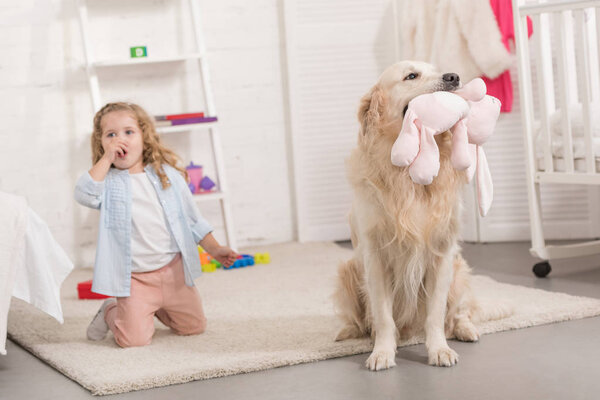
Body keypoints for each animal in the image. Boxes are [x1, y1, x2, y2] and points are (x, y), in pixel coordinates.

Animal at [336, 60, 486, 372]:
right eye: (411, 76)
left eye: (437, 68)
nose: (453, 77)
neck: (408, 175)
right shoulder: (375, 257)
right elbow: (382, 315)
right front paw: (382, 352)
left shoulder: (442, 254)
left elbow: (436, 314)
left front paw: (439, 350)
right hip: (347, 271)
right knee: (357, 320)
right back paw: (349, 333)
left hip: (459, 271)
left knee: (459, 313)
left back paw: (466, 329)